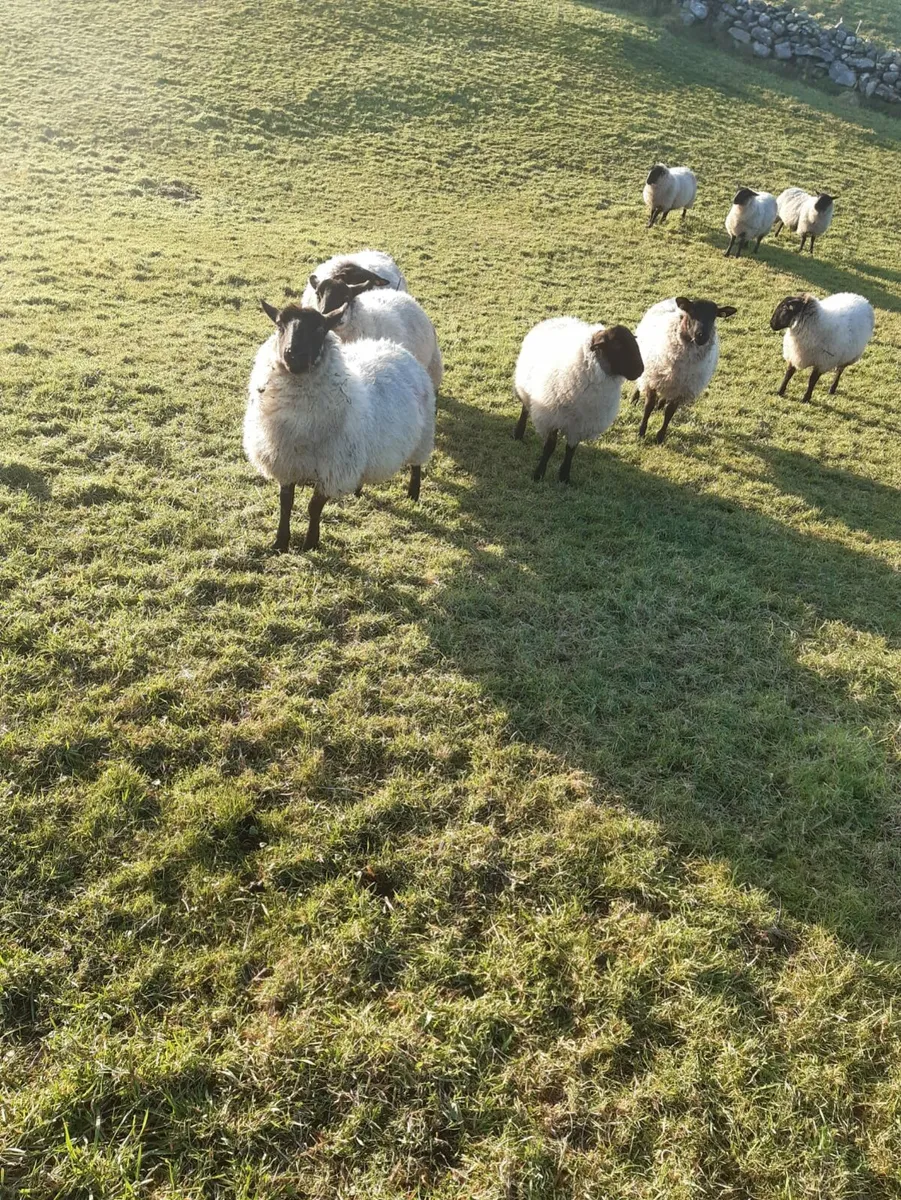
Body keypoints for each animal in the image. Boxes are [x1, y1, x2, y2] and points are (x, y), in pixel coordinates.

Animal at [244, 300, 434, 551]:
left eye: (319, 329)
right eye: (280, 326)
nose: (293, 355)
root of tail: (394, 346)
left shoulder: (333, 469)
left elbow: (314, 507)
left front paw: (311, 543)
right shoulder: (286, 463)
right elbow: (286, 503)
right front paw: (280, 542)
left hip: (423, 435)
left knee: (416, 466)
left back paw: (413, 493)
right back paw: (358, 490)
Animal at [512, 317, 643, 483]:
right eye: (617, 344)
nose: (640, 370)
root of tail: (557, 318)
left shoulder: (579, 424)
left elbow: (571, 450)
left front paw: (564, 477)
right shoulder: (553, 416)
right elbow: (550, 446)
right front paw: (539, 474)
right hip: (527, 388)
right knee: (525, 408)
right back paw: (518, 433)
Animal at [632, 297, 737, 443]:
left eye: (714, 317)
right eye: (692, 313)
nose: (702, 336)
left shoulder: (682, 389)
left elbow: (670, 412)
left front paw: (660, 436)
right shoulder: (652, 380)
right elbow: (648, 406)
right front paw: (641, 432)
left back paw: (660, 404)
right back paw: (634, 399)